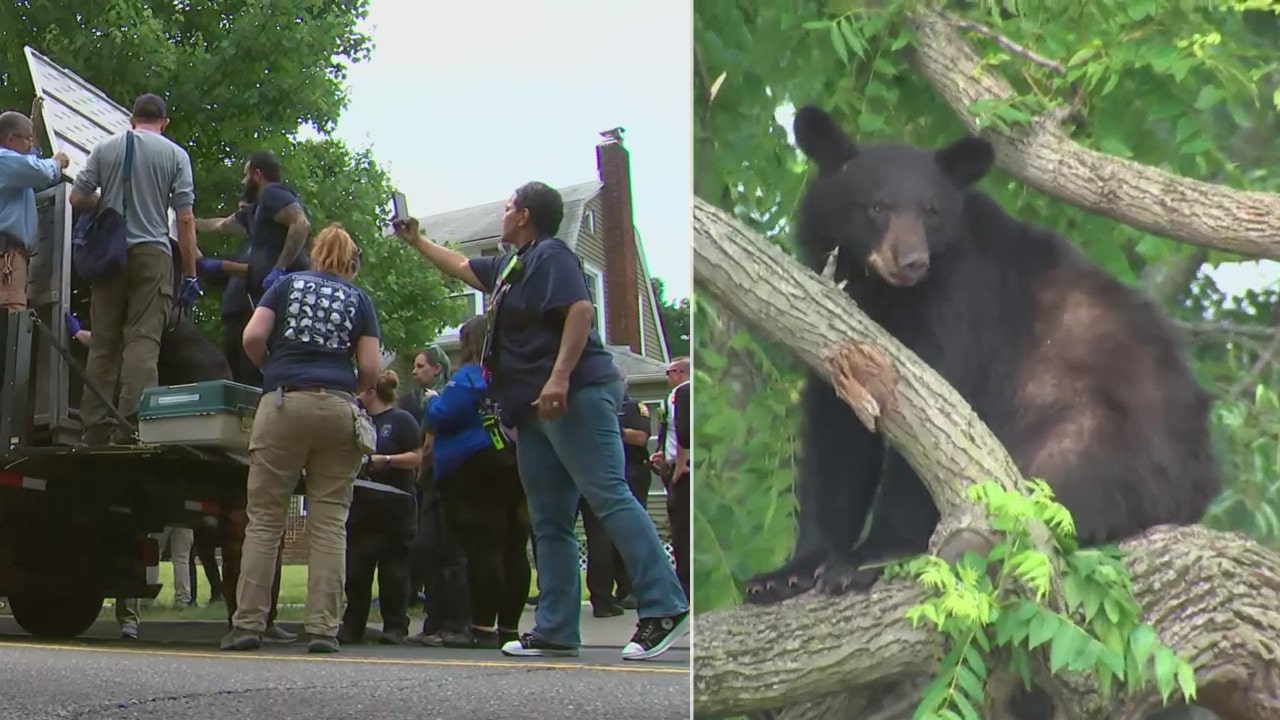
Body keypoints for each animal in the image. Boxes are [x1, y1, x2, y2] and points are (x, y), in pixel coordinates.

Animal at [744, 105, 1223, 605]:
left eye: (931, 211)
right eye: (876, 206)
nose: (911, 261)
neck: (885, 298)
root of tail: (1201, 487)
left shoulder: (961, 308)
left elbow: (937, 426)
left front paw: (863, 560)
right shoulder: (835, 333)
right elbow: (837, 439)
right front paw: (786, 573)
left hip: (1093, 437)